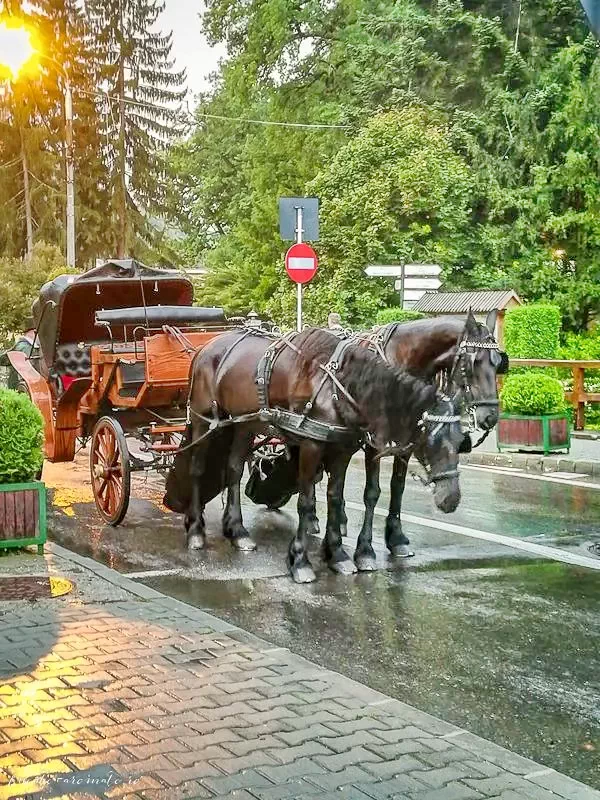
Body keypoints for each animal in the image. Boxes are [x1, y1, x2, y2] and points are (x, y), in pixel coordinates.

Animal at [164, 328, 464, 584]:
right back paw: (196, 531)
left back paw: (237, 532)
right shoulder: (311, 446)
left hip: (243, 424)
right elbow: (306, 501)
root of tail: (205, 347)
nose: (451, 499)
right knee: (197, 468)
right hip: (204, 420)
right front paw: (300, 560)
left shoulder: (342, 450)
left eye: (462, 441)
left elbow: (334, 498)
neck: (338, 386)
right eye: (432, 440)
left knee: (234, 470)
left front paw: (337, 553)